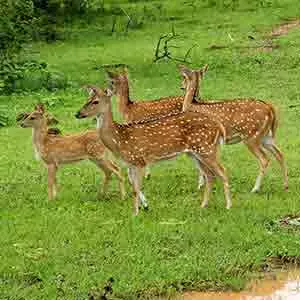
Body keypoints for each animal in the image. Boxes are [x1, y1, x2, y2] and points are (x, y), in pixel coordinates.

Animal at [75, 75, 232, 216]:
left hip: (207, 148)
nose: (77, 113)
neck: (119, 139)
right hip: (195, 152)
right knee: (210, 175)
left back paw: (228, 206)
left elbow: (136, 189)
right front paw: (144, 206)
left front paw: (136, 213)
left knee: (222, 171)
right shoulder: (130, 163)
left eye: (95, 101)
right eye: (86, 100)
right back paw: (203, 205)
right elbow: (134, 186)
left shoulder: (139, 160)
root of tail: (218, 126)